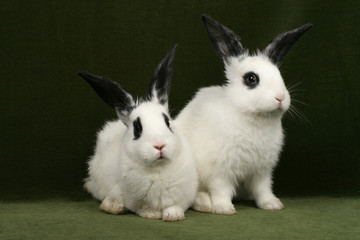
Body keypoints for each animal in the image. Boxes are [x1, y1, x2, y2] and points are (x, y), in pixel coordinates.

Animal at [79, 45, 198, 221]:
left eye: (168, 122)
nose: (159, 146)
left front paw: (173, 216)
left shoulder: (183, 196)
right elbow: (142, 208)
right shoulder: (133, 199)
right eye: (137, 129)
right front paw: (152, 214)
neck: (158, 169)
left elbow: (175, 206)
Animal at [176, 14, 310, 214]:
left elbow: (263, 189)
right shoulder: (220, 170)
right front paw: (224, 208)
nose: (280, 97)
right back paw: (204, 203)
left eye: (279, 75)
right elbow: (221, 189)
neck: (252, 116)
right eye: (251, 78)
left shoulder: (262, 171)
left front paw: (272, 205)